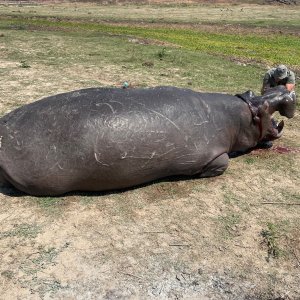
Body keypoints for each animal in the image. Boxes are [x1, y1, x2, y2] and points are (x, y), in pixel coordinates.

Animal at [0, 85, 296, 196]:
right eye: (260, 107)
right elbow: (223, 164)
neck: (237, 116)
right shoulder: (212, 155)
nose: (285, 90)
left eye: (251, 92)